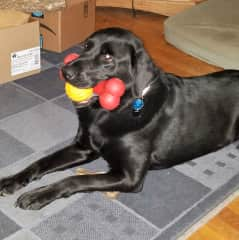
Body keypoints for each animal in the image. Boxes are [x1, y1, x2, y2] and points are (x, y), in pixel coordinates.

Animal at [0, 27, 239, 209]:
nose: (65, 71)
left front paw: (37, 195)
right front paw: (12, 181)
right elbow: (41, 161)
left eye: (108, 57)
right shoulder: (83, 148)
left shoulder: (130, 177)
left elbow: (77, 178)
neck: (112, 111)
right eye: (86, 46)